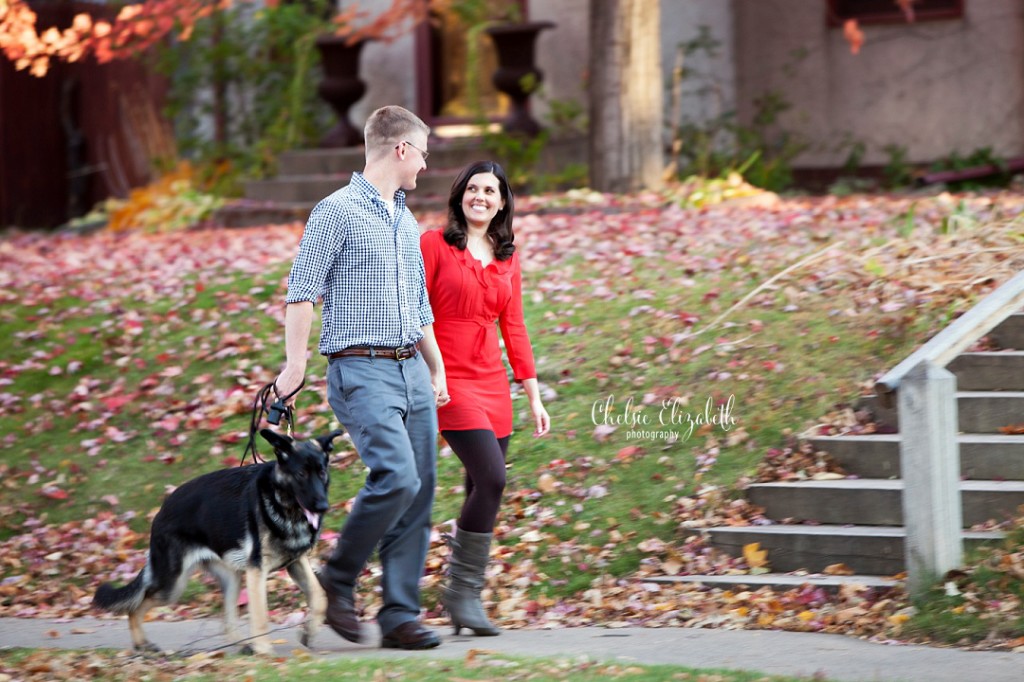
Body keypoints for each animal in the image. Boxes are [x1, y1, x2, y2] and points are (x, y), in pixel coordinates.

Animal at [93, 428, 339, 651]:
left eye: (322, 472)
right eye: (301, 474)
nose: (323, 506)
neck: (284, 504)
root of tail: (161, 510)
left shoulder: (296, 563)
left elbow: (320, 596)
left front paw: (309, 631)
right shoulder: (257, 571)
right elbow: (260, 616)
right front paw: (265, 652)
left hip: (232, 578)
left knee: (227, 621)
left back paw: (244, 647)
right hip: (172, 585)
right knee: (136, 606)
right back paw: (141, 644)